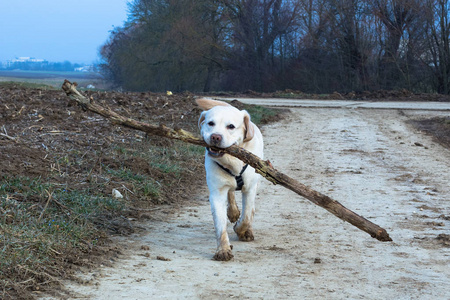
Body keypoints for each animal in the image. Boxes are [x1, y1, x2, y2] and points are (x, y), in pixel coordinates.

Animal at [197, 98, 264, 260]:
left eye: (231, 126)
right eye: (210, 123)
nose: (215, 137)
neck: (231, 161)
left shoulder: (250, 188)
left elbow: (246, 216)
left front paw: (241, 230)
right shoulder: (217, 192)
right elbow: (220, 224)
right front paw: (223, 250)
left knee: (250, 209)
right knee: (231, 193)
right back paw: (233, 211)